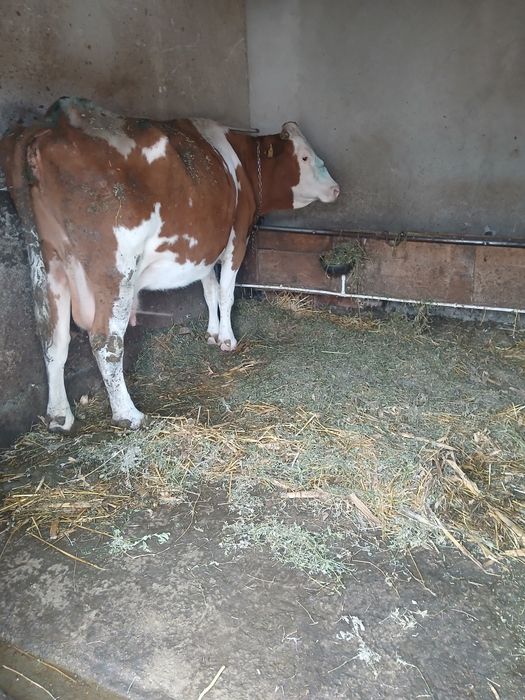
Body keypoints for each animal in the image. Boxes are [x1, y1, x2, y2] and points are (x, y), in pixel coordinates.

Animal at [0, 97, 339, 431]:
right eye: (305, 157)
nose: (336, 188)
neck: (240, 162)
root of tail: (49, 123)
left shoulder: (203, 247)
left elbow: (209, 291)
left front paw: (212, 334)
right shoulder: (237, 237)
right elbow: (226, 293)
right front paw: (227, 339)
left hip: (46, 261)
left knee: (52, 337)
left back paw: (59, 416)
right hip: (115, 269)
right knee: (105, 339)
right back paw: (128, 414)